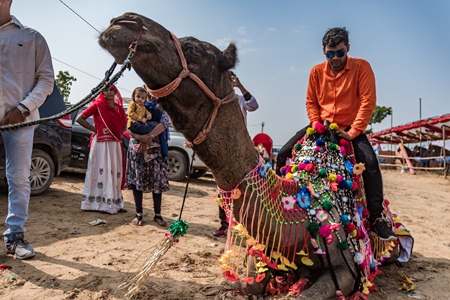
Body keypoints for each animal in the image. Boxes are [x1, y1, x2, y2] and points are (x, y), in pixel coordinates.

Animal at [98, 12, 386, 298]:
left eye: (193, 49)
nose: (122, 21)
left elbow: (309, 293)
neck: (302, 214)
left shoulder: (347, 269)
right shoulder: (261, 248)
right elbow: (251, 281)